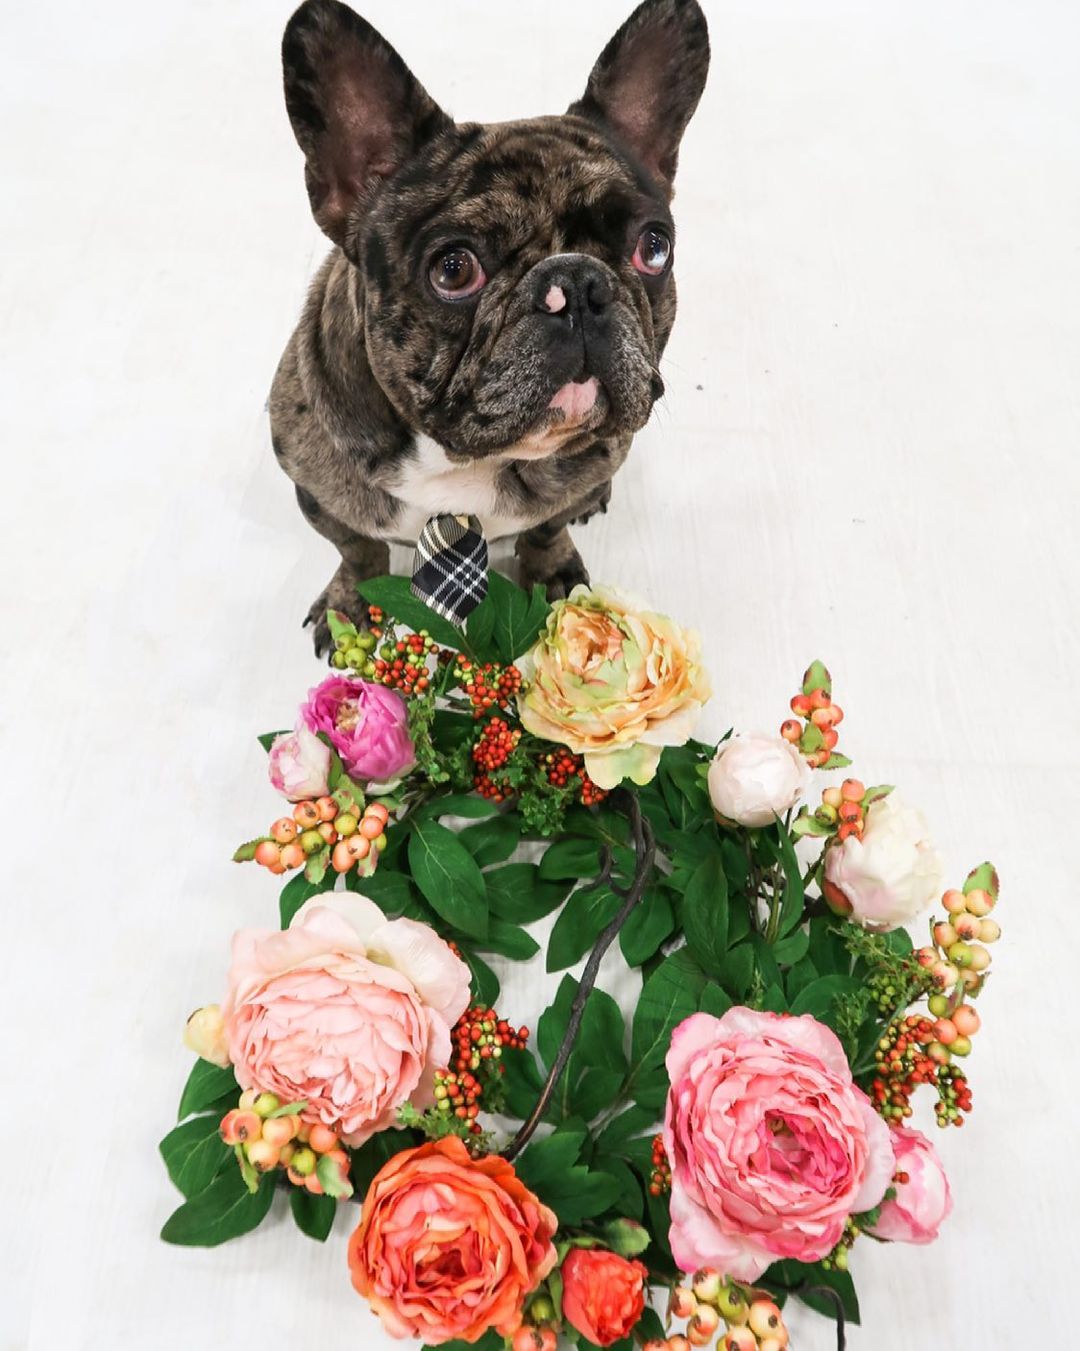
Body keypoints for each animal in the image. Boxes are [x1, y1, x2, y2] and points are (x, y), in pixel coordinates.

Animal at [270, 0, 708, 653]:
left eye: (654, 248)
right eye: (453, 269)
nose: (578, 283)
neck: (463, 463)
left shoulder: (566, 487)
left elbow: (547, 530)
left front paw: (554, 575)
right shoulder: (319, 492)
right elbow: (357, 548)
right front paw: (350, 606)